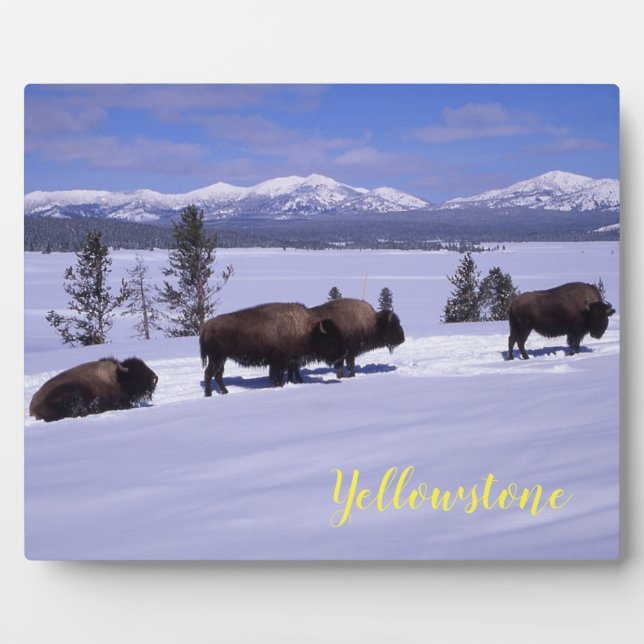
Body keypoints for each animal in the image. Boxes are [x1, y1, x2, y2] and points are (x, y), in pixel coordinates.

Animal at [199, 302, 346, 396]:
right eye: (331, 339)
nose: (343, 353)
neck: (308, 330)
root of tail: (207, 326)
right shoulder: (279, 361)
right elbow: (277, 375)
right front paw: (279, 385)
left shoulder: (288, 361)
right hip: (217, 358)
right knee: (209, 373)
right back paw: (209, 394)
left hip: (221, 359)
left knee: (218, 375)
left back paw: (225, 392)